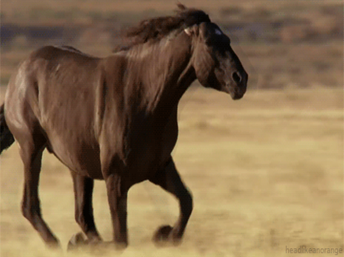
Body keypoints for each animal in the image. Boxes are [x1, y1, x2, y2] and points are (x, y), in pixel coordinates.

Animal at [0, 3, 247, 248]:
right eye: (209, 42)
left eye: (227, 39)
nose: (240, 79)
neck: (146, 97)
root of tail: (18, 74)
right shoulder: (116, 177)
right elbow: (120, 239)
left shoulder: (159, 167)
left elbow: (186, 202)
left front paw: (165, 234)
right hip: (32, 148)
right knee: (30, 206)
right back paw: (58, 243)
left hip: (77, 165)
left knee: (82, 214)